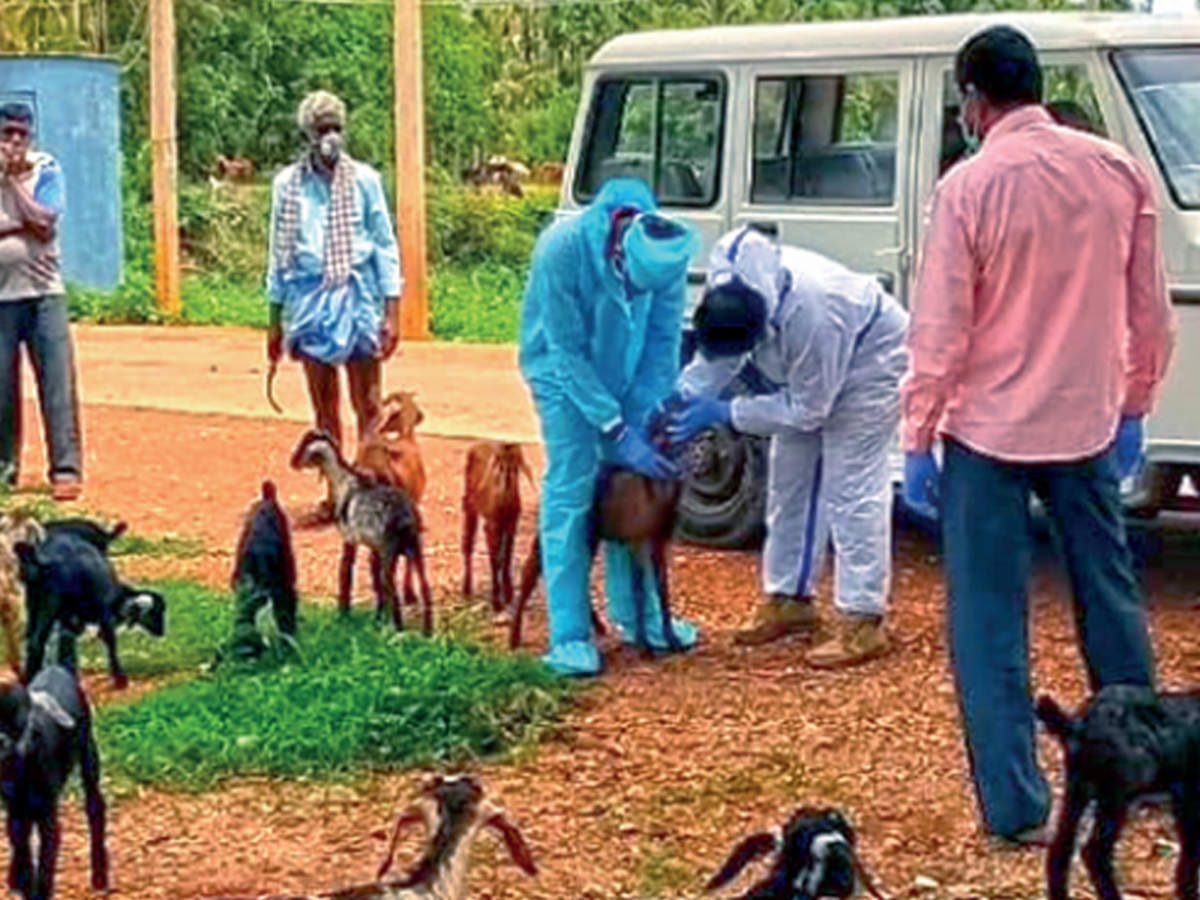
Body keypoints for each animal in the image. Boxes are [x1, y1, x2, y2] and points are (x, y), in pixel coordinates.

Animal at [0, 667, 108, 897]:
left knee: (95, 807)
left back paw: (100, 879)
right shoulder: (14, 808)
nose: (3, 743)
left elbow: (46, 858)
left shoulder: (47, 812)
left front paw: (38, 891)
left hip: (89, 754)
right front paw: (21, 883)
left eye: (21, 723)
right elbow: (20, 847)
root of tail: (54, 668)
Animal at [16, 528, 165, 691]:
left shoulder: (69, 619)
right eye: (156, 612)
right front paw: (120, 680)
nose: (162, 631)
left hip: (32, 602)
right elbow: (110, 641)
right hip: (50, 603)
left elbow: (66, 646)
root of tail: (42, 560)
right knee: (36, 641)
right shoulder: (104, 612)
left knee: (30, 639)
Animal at [460, 441, 532, 614]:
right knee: (467, 542)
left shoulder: (512, 524)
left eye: (515, 465)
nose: (502, 490)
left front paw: (509, 594)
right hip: (469, 505)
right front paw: (496, 602)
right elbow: (495, 559)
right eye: (497, 464)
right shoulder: (491, 526)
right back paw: (466, 589)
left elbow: (506, 557)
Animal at [1036, 681, 1200, 900]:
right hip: (1116, 795)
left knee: (1060, 849)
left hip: (1078, 790)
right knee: (1094, 852)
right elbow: (1190, 855)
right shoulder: (1189, 798)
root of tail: (1081, 725)